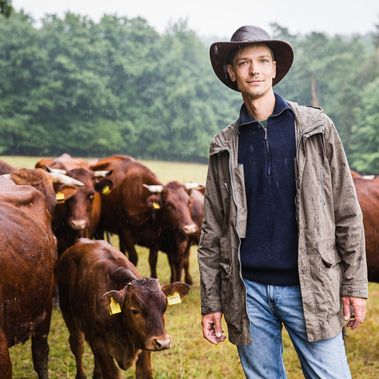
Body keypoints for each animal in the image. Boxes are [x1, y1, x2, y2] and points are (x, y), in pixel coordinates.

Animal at [56, 240, 191, 379]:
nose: (163, 343)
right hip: (68, 314)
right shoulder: (99, 345)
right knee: (78, 345)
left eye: (164, 307)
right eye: (135, 310)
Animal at [90, 156, 197, 284]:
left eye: (189, 202)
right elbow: (133, 258)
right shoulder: (126, 232)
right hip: (99, 228)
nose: (190, 228)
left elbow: (153, 260)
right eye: (168, 204)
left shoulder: (155, 237)